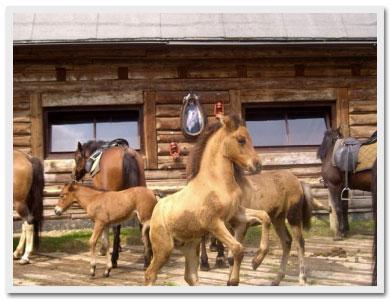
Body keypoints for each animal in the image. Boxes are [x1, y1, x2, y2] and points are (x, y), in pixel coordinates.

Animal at [73, 141, 146, 270]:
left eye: (76, 158)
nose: (75, 175)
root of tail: (126, 153)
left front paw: (103, 248)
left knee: (116, 227)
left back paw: (114, 259)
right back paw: (147, 260)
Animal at [144, 113, 272, 288]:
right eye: (241, 140)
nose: (257, 165)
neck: (216, 182)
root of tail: (156, 209)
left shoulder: (236, 214)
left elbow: (265, 216)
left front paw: (257, 261)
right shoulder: (214, 223)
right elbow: (238, 249)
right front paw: (233, 280)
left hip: (190, 247)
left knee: (190, 277)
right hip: (163, 249)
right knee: (150, 274)